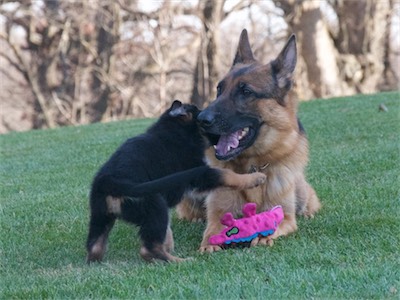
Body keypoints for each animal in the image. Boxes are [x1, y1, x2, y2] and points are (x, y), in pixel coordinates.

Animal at [85, 100, 266, 262]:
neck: (175, 130)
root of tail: (109, 182)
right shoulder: (200, 173)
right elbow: (227, 174)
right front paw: (256, 178)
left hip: (100, 215)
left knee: (95, 246)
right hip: (154, 205)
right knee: (148, 249)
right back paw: (180, 260)